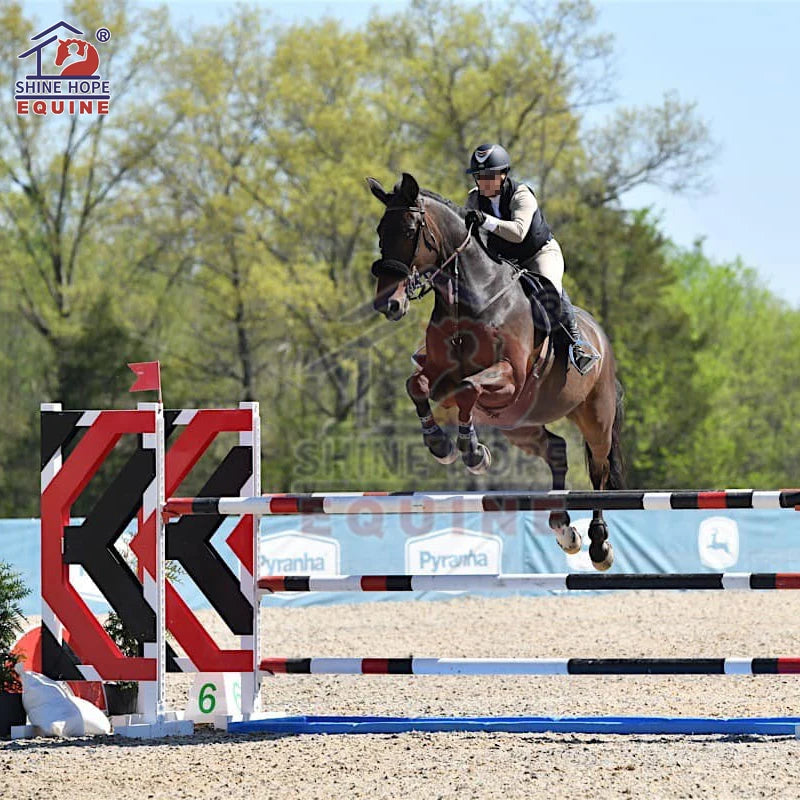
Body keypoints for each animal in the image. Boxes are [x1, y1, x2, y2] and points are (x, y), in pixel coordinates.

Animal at [367, 172, 624, 571]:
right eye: (381, 231)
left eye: (410, 231)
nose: (387, 304)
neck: (471, 299)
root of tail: (600, 336)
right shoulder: (442, 375)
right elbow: (418, 384)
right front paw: (440, 445)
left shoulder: (509, 376)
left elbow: (468, 389)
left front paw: (472, 452)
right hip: (519, 424)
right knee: (556, 449)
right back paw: (563, 528)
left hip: (595, 416)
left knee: (599, 469)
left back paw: (598, 545)